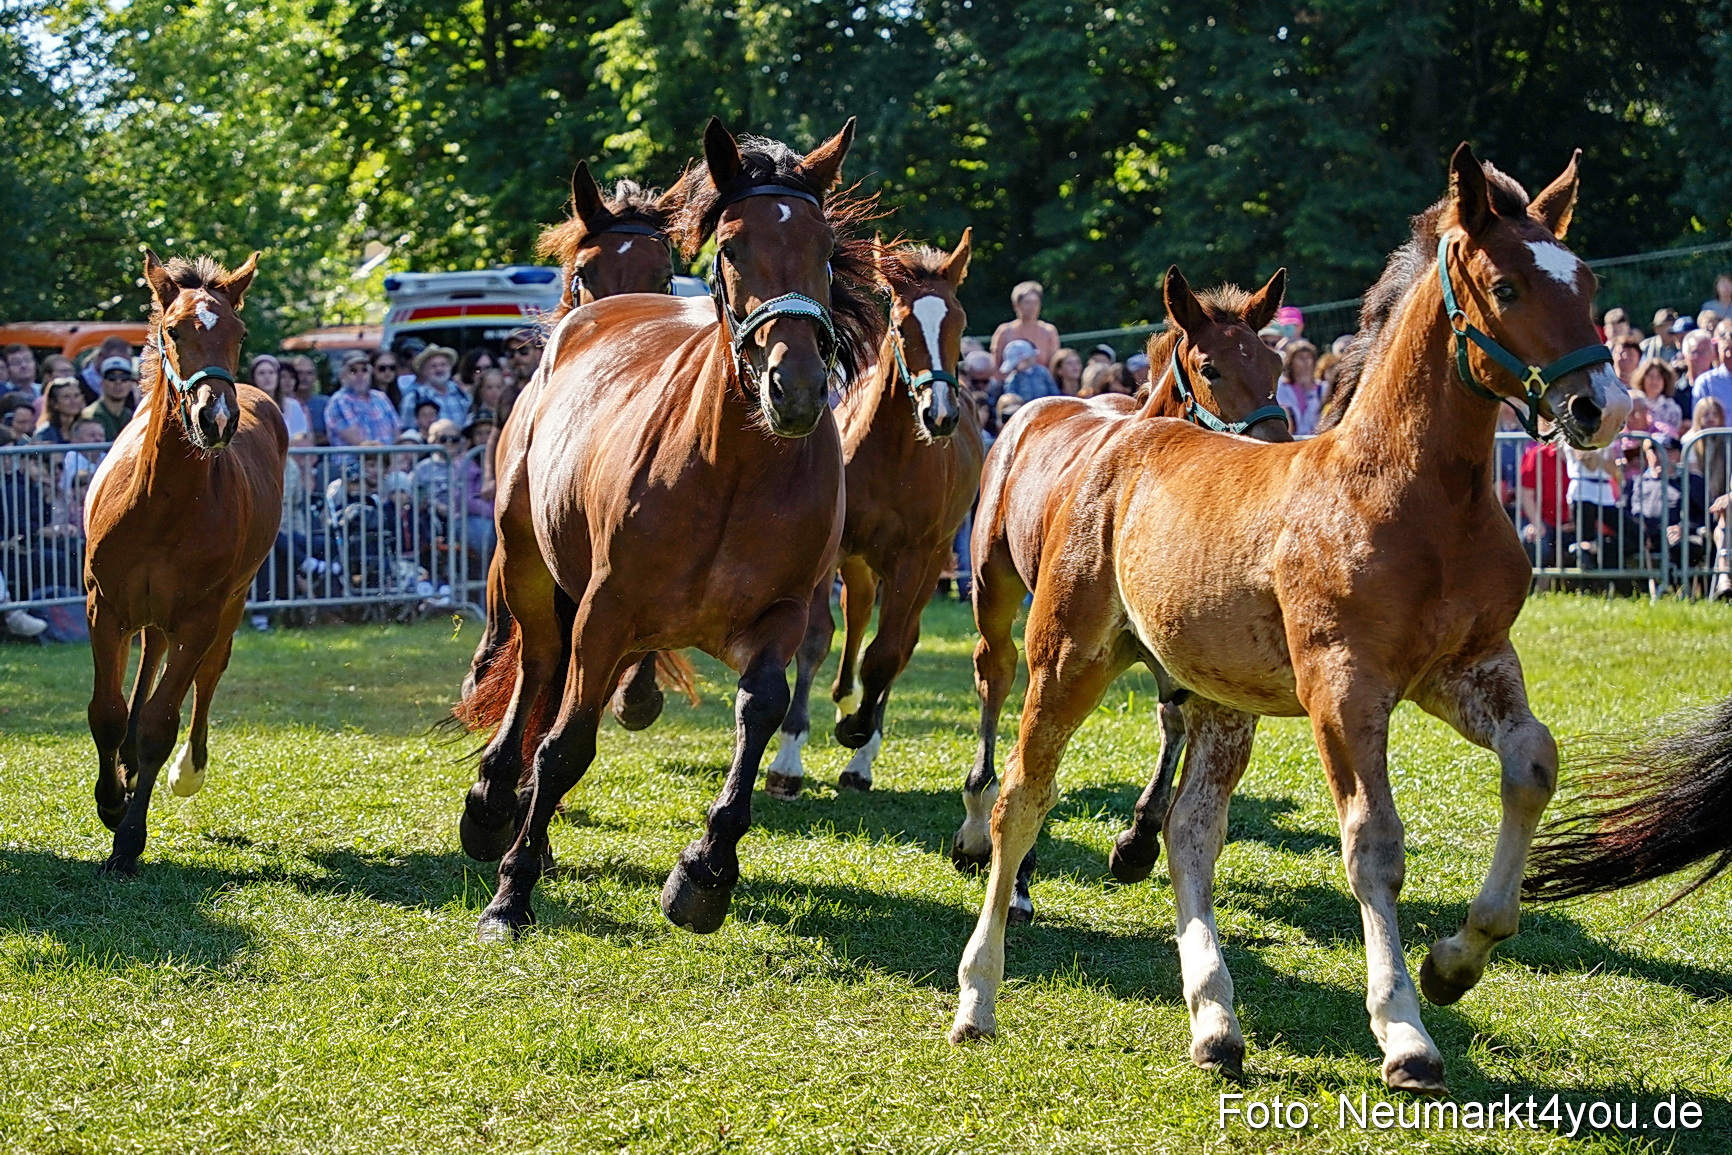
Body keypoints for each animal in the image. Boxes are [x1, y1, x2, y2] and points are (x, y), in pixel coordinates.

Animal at [83, 250, 287, 875]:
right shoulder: (104, 606)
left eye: (239, 333)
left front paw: (128, 838)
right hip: (145, 612)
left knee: (208, 671)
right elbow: (107, 711)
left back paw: (186, 769)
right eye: (173, 330)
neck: (161, 501)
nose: (215, 419)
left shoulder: (200, 614)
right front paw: (111, 799)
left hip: (231, 601)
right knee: (150, 655)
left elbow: (160, 722)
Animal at [453, 118, 885, 940]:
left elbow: (760, 710)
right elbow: (565, 745)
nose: (797, 386)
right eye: (731, 248)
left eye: (825, 249)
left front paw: (706, 871)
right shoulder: (605, 609)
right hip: (531, 566)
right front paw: (510, 894)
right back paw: (496, 802)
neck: (733, 467)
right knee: (540, 663)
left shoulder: (779, 615)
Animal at [762, 231, 982, 799]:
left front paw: (859, 736)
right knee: (858, 614)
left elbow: (885, 655)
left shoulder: (914, 559)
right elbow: (816, 638)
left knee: (900, 642)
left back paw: (861, 738)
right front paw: (788, 758)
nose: (940, 414)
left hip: (931, 563)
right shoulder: (832, 547)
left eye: (960, 325)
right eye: (902, 325)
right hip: (860, 564)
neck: (892, 456)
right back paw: (842, 697)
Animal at [949, 266, 1292, 923]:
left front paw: (1137, 840)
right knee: (994, 670)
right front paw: (1019, 873)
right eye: (1211, 368)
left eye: (1276, 364)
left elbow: (1175, 718)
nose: (1275, 450)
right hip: (992, 585)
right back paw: (978, 820)